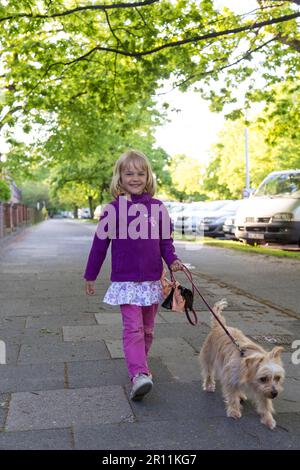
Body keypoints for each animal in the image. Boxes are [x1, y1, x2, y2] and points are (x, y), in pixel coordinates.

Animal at [200, 302, 284, 430]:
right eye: (263, 378)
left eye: (277, 378)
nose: (275, 394)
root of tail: (219, 326)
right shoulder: (231, 378)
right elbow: (232, 396)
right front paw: (234, 410)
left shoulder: (263, 390)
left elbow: (265, 403)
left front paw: (268, 419)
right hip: (208, 357)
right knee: (209, 372)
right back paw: (209, 385)